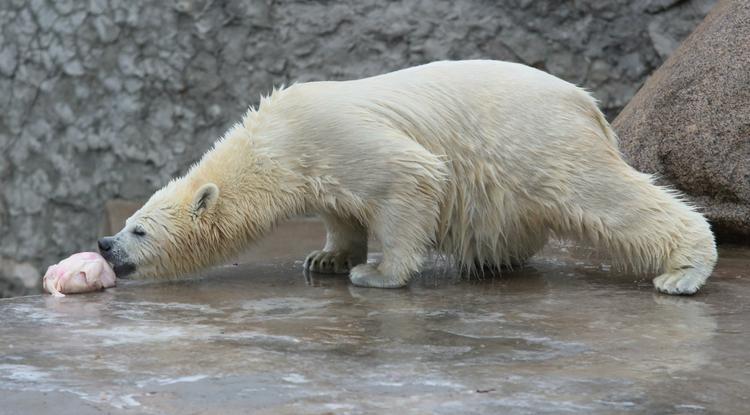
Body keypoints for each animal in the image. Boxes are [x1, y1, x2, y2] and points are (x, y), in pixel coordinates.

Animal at [98, 61, 716, 296]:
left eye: (139, 230)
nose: (105, 245)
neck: (275, 140)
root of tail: (587, 104)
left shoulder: (333, 134)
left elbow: (409, 177)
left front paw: (374, 274)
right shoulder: (319, 166)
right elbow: (341, 212)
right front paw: (324, 258)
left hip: (541, 141)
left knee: (605, 195)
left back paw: (683, 271)